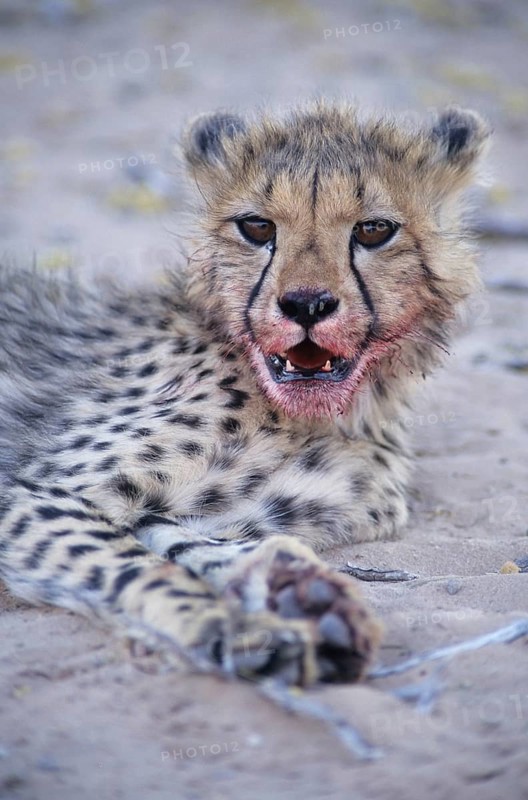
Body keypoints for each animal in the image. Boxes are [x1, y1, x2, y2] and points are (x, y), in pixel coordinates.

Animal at [0, 102, 489, 686]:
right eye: (257, 227)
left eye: (373, 230)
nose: (305, 304)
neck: (313, 418)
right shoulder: (34, 494)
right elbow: (132, 562)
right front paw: (236, 625)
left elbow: (185, 537)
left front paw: (298, 594)